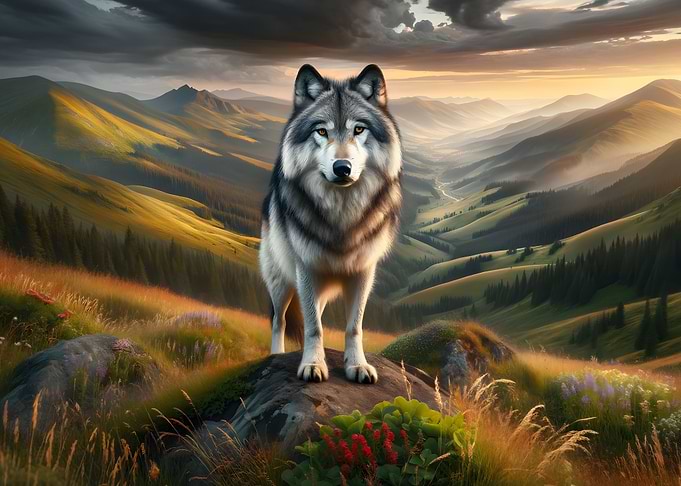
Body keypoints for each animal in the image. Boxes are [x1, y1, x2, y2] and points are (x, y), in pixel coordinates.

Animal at [259, 64, 402, 384]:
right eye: (321, 131)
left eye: (358, 129)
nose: (342, 168)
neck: (342, 214)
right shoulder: (306, 268)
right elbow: (314, 327)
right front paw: (312, 365)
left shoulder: (364, 271)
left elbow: (354, 326)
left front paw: (357, 366)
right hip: (281, 281)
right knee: (279, 320)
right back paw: (275, 355)